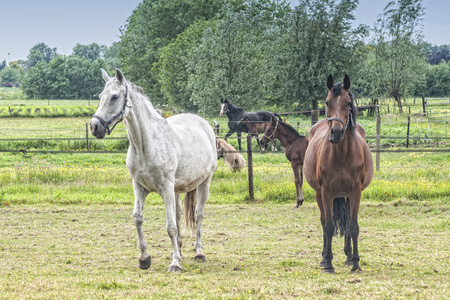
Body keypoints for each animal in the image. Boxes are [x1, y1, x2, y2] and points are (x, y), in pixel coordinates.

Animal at [90, 69, 218, 274]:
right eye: (101, 96)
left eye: (114, 96)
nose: (95, 127)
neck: (145, 144)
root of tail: (203, 123)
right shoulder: (139, 186)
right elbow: (138, 218)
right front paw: (144, 258)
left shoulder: (166, 188)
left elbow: (171, 227)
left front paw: (175, 264)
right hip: (176, 190)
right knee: (179, 213)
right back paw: (177, 249)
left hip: (205, 182)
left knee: (198, 214)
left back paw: (198, 252)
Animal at [304, 75, 374, 274]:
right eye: (327, 102)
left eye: (348, 103)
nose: (336, 132)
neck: (341, 156)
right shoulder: (326, 192)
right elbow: (328, 226)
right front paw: (328, 264)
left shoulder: (355, 193)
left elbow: (353, 226)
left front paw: (356, 263)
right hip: (319, 194)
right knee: (323, 222)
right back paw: (323, 259)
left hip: (346, 196)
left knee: (347, 225)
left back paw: (349, 257)